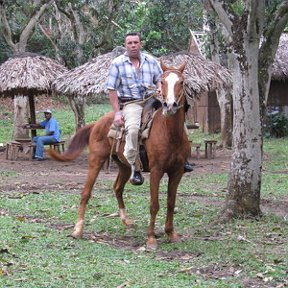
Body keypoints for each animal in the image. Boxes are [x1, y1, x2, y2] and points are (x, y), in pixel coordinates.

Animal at [48, 61, 190, 250]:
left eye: (181, 82)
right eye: (162, 82)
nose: (170, 105)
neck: (169, 133)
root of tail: (97, 123)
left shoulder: (177, 172)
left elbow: (171, 203)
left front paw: (171, 233)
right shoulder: (156, 171)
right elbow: (154, 204)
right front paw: (151, 239)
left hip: (124, 165)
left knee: (117, 188)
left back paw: (126, 221)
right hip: (96, 160)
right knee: (86, 192)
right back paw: (77, 230)